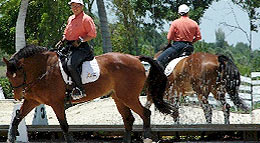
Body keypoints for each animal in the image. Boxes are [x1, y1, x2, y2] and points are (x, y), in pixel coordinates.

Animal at [4, 44, 173, 142]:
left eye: (18, 73)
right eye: (7, 75)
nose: (18, 96)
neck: (43, 69)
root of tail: (136, 58)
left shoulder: (56, 103)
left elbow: (64, 126)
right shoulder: (32, 101)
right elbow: (17, 118)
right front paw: (11, 138)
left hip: (128, 96)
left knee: (145, 113)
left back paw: (147, 138)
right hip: (118, 97)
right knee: (128, 119)